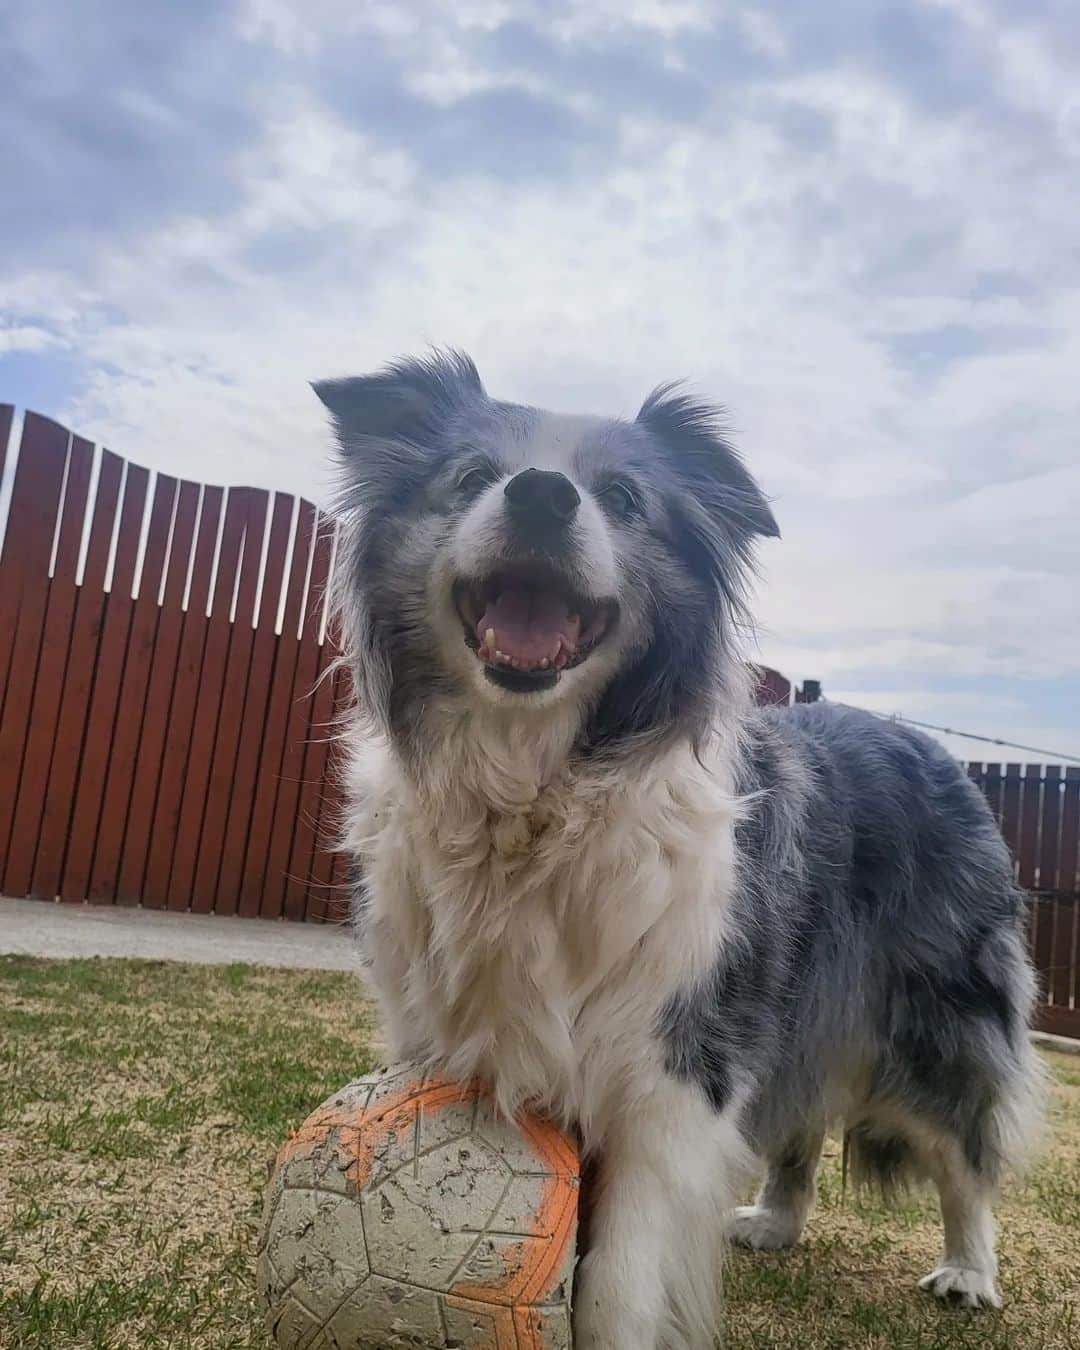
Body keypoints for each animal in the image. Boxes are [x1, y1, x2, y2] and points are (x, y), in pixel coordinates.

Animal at [318, 356, 1047, 1350]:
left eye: (625, 497)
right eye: (469, 478)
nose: (541, 495)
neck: (532, 792)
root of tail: (931, 745)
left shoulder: (671, 1072)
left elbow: (619, 1282)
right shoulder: (441, 1031)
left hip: (933, 1018)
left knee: (965, 1149)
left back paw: (969, 1270)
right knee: (802, 1122)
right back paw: (776, 1221)